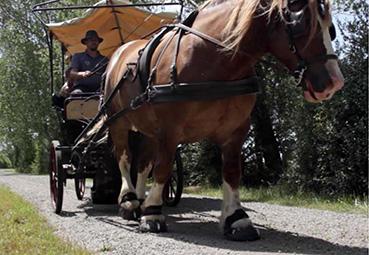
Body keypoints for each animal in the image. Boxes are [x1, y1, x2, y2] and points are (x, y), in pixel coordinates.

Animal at [103, 0, 342, 241]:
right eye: (301, 24)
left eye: (330, 28)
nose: (335, 82)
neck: (213, 61)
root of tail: (121, 51)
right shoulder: (169, 131)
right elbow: (163, 168)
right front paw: (152, 213)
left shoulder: (235, 130)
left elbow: (232, 171)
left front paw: (237, 218)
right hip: (118, 123)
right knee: (124, 158)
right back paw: (130, 201)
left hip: (148, 129)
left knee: (143, 163)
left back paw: (140, 200)